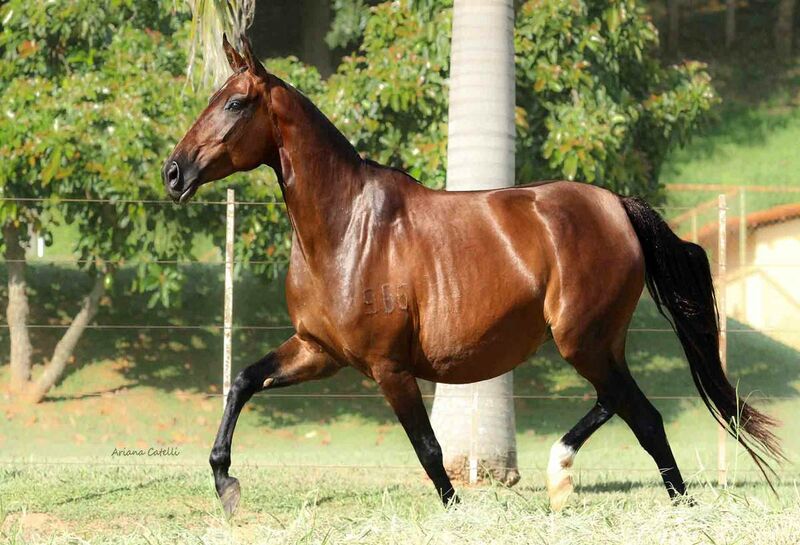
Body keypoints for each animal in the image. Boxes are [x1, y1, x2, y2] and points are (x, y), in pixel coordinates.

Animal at [162, 36, 780, 512]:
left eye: (235, 103)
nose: (174, 173)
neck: (346, 230)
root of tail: (617, 206)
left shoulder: (389, 368)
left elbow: (428, 448)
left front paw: (456, 508)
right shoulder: (318, 351)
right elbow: (242, 381)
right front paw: (225, 483)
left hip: (582, 339)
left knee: (640, 414)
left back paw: (645, 493)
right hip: (593, 342)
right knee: (622, 404)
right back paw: (581, 479)